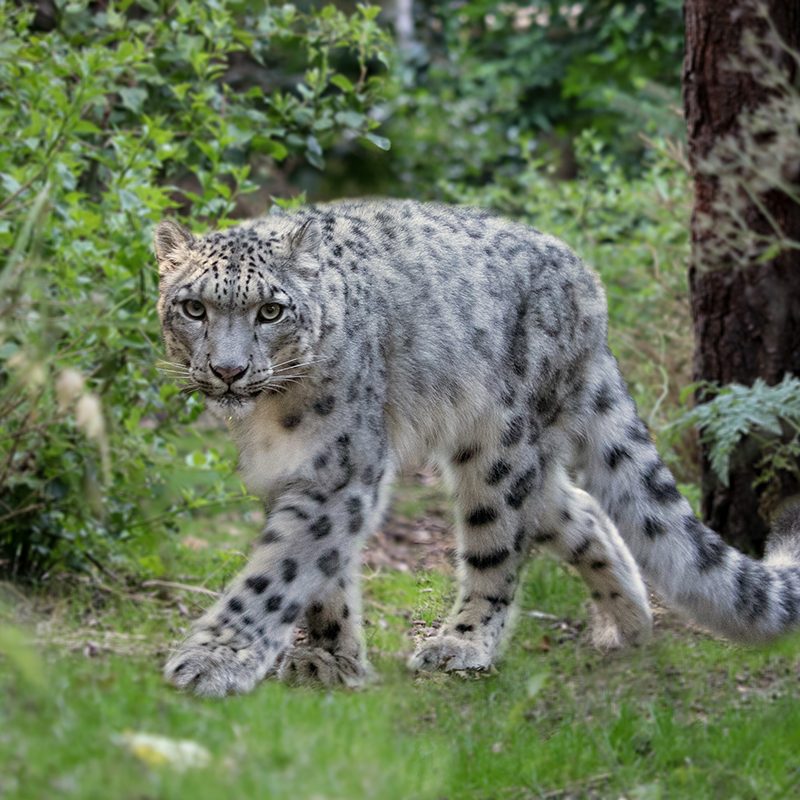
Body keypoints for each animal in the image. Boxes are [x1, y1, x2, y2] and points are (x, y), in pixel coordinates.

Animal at [153, 197, 800, 696]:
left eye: (270, 310)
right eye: (194, 307)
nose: (229, 371)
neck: (270, 419)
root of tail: (589, 290)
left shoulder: (339, 467)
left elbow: (280, 569)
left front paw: (212, 660)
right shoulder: (288, 473)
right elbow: (319, 573)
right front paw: (329, 659)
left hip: (498, 445)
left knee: (500, 544)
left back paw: (462, 645)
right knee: (578, 508)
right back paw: (629, 624)